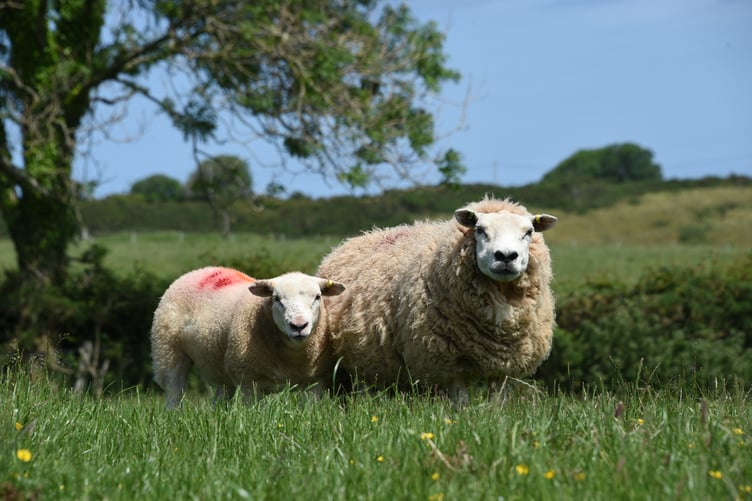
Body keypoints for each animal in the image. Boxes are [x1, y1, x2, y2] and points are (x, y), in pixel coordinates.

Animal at [151, 266, 345, 409]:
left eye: (318, 297)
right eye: (276, 298)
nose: (298, 325)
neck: (290, 357)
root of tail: (198, 271)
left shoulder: (316, 381)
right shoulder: (248, 381)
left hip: (219, 362)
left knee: (221, 395)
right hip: (167, 350)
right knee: (174, 390)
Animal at [317, 197, 558, 400]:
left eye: (529, 232)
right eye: (480, 230)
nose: (506, 256)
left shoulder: (505, 368)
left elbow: (496, 405)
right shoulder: (448, 364)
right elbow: (461, 403)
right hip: (363, 360)